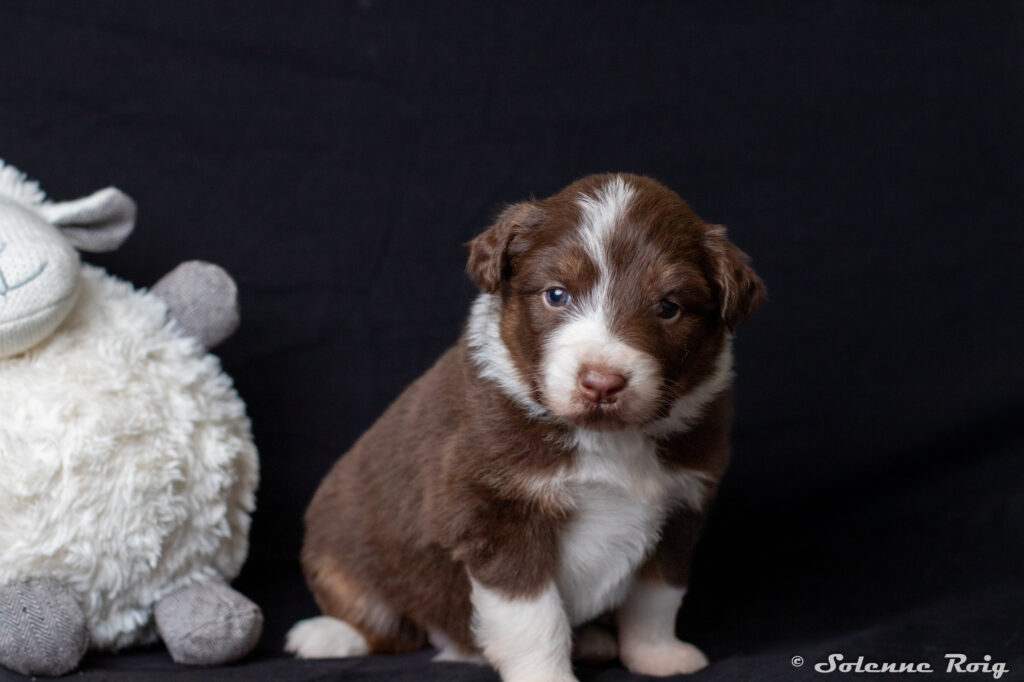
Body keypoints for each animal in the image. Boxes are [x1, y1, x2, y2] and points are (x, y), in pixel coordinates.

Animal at [286, 173, 765, 681]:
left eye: (669, 307)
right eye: (557, 294)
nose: (602, 382)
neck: (607, 437)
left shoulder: (679, 510)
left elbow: (657, 596)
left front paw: (659, 656)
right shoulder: (497, 510)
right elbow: (533, 615)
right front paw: (547, 675)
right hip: (338, 546)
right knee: (384, 622)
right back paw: (326, 636)